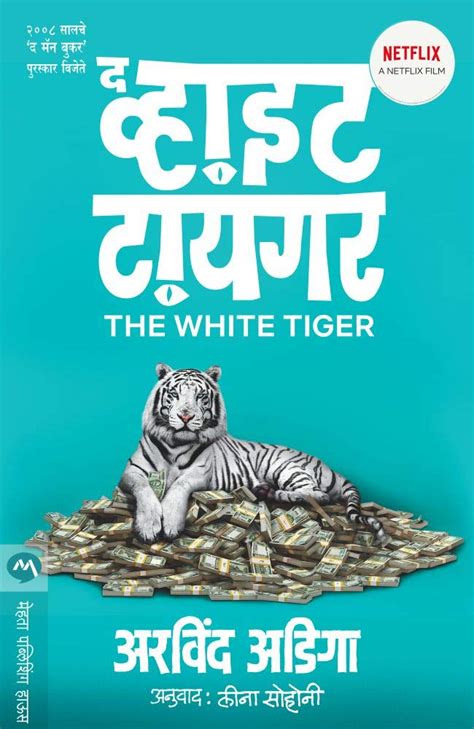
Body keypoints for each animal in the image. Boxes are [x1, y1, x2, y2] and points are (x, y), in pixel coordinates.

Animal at [118, 363, 386, 544]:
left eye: (201, 396)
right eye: (174, 394)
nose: (186, 417)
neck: (176, 443)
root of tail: (330, 468)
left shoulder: (200, 473)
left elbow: (179, 486)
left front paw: (171, 523)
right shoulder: (132, 472)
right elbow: (144, 488)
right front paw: (149, 526)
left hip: (283, 466)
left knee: (318, 495)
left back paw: (269, 492)